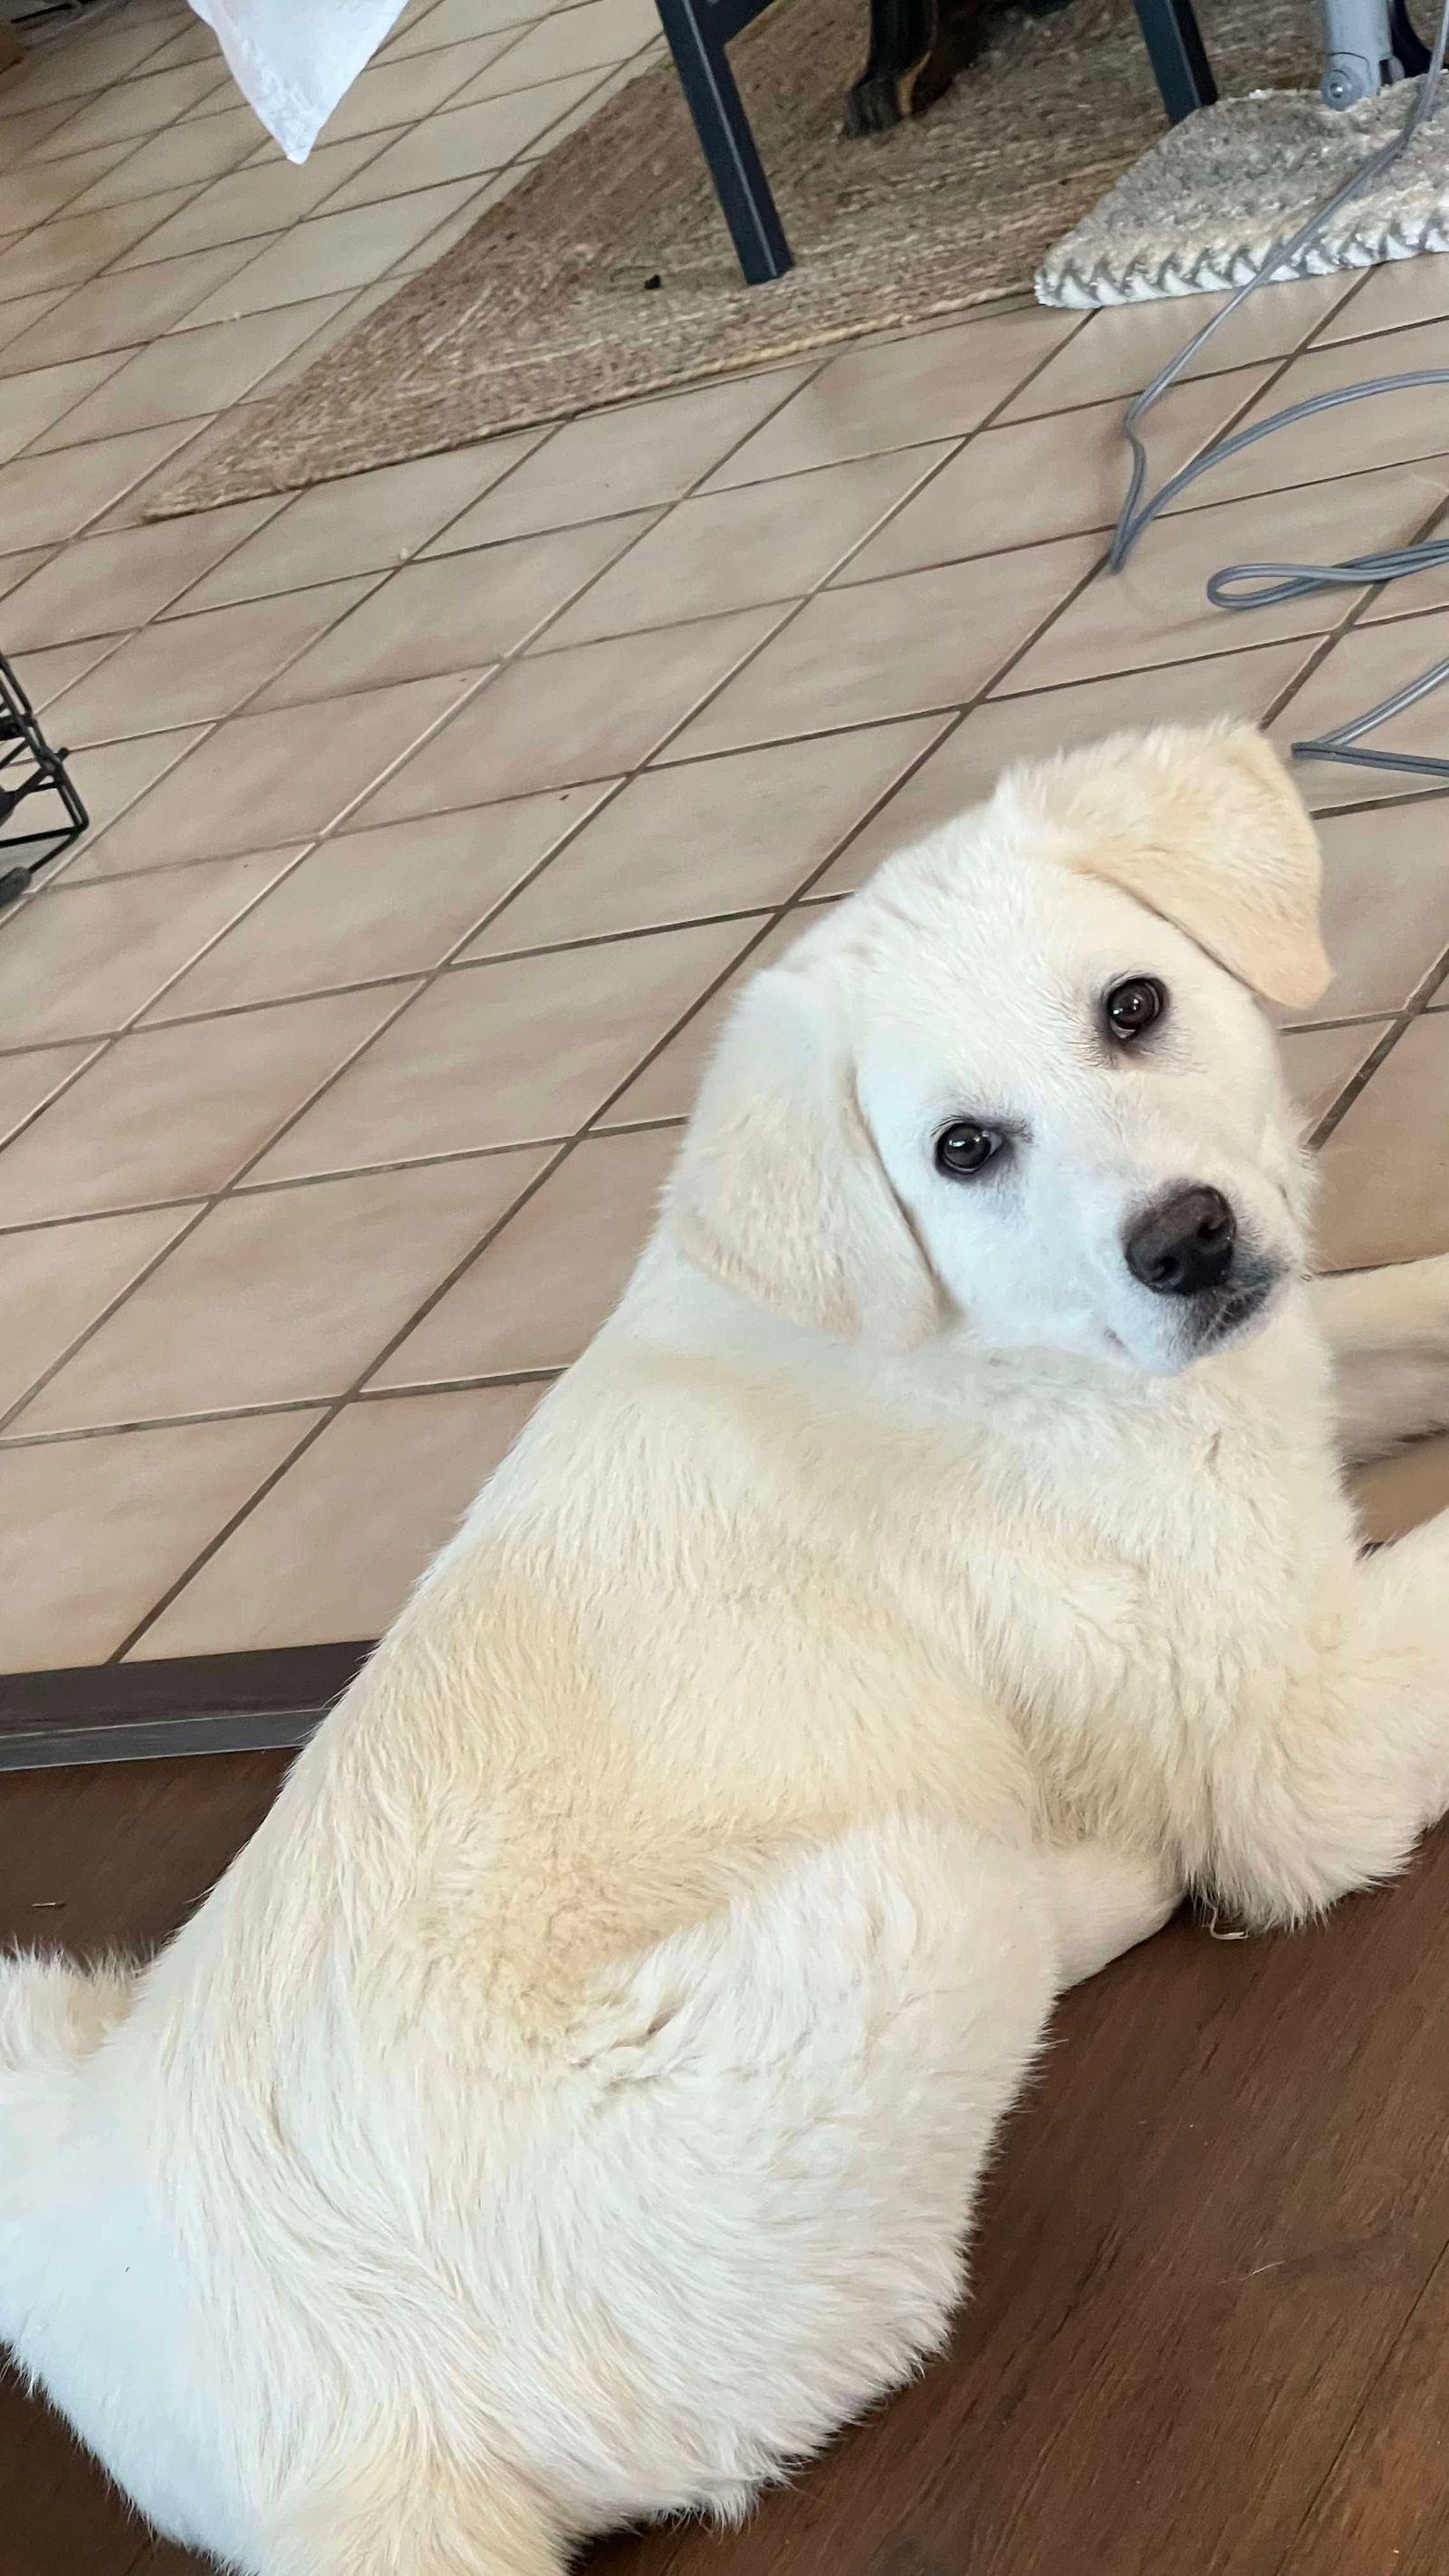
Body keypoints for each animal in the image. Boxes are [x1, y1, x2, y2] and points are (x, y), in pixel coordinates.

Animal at [3, 726, 1449, 2576]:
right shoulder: (1296, 1749)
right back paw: (1106, 1880)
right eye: (963, 1148)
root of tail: (320, 2467)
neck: (985, 1334)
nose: (1186, 1241)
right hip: (910, 1898)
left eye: (1135, 1006)